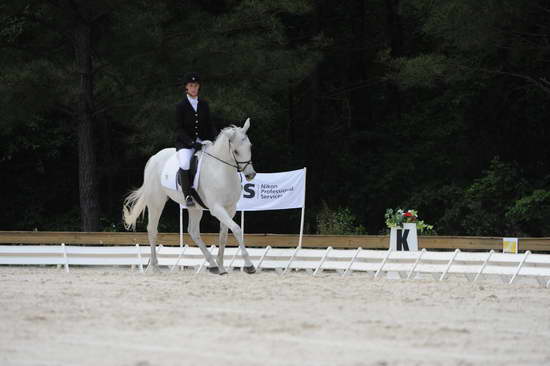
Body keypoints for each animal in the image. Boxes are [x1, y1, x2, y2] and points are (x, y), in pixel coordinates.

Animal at [124, 118, 258, 274]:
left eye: (250, 146)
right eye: (236, 151)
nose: (250, 175)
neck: (222, 171)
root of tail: (154, 158)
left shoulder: (230, 208)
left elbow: (223, 236)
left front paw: (221, 265)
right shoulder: (216, 208)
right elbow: (236, 229)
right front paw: (249, 265)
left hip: (195, 208)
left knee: (193, 232)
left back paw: (213, 265)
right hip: (156, 201)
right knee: (152, 229)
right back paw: (156, 267)